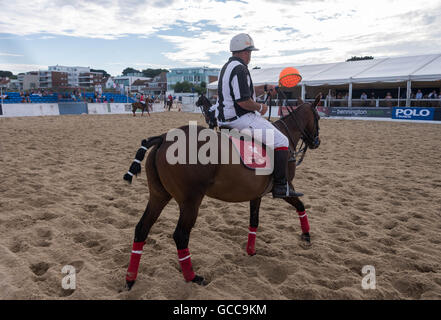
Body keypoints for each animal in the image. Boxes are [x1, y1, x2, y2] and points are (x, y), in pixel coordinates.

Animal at [122, 94, 322, 288]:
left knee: (142, 228)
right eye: (318, 117)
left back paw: (130, 279)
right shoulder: (286, 188)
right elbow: (300, 205)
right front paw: (306, 236)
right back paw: (193, 277)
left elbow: (254, 221)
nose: (317, 142)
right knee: (180, 235)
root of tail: (164, 137)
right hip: (190, 202)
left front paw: (251, 251)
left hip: (159, 195)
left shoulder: (256, 194)